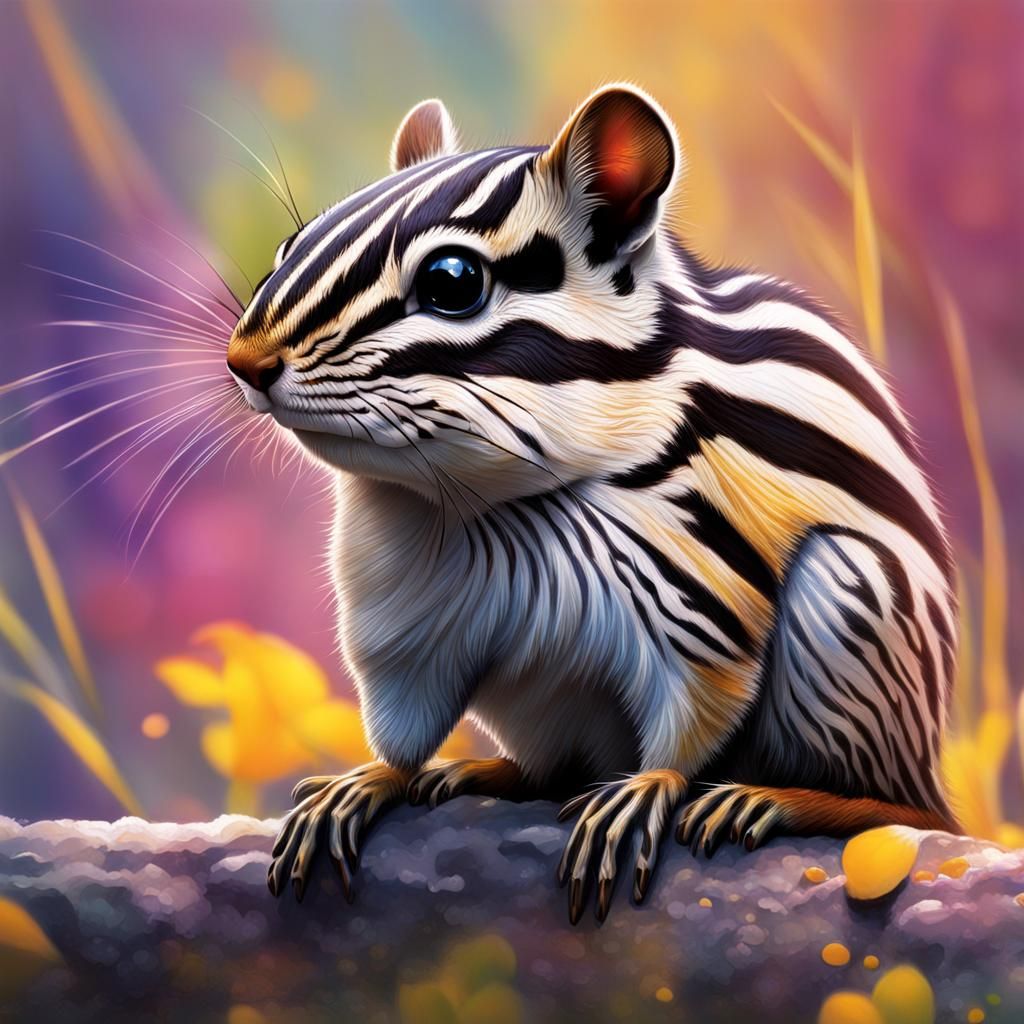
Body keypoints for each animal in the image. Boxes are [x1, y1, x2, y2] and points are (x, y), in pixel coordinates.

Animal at [226, 85, 959, 924]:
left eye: (452, 281)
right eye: (290, 245)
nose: (242, 362)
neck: (482, 499)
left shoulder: (703, 592)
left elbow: (700, 704)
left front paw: (650, 787)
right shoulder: (400, 610)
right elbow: (402, 719)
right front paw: (375, 778)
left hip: (849, 598)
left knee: (903, 809)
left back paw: (778, 798)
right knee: (554, 770)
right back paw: (487, 772)